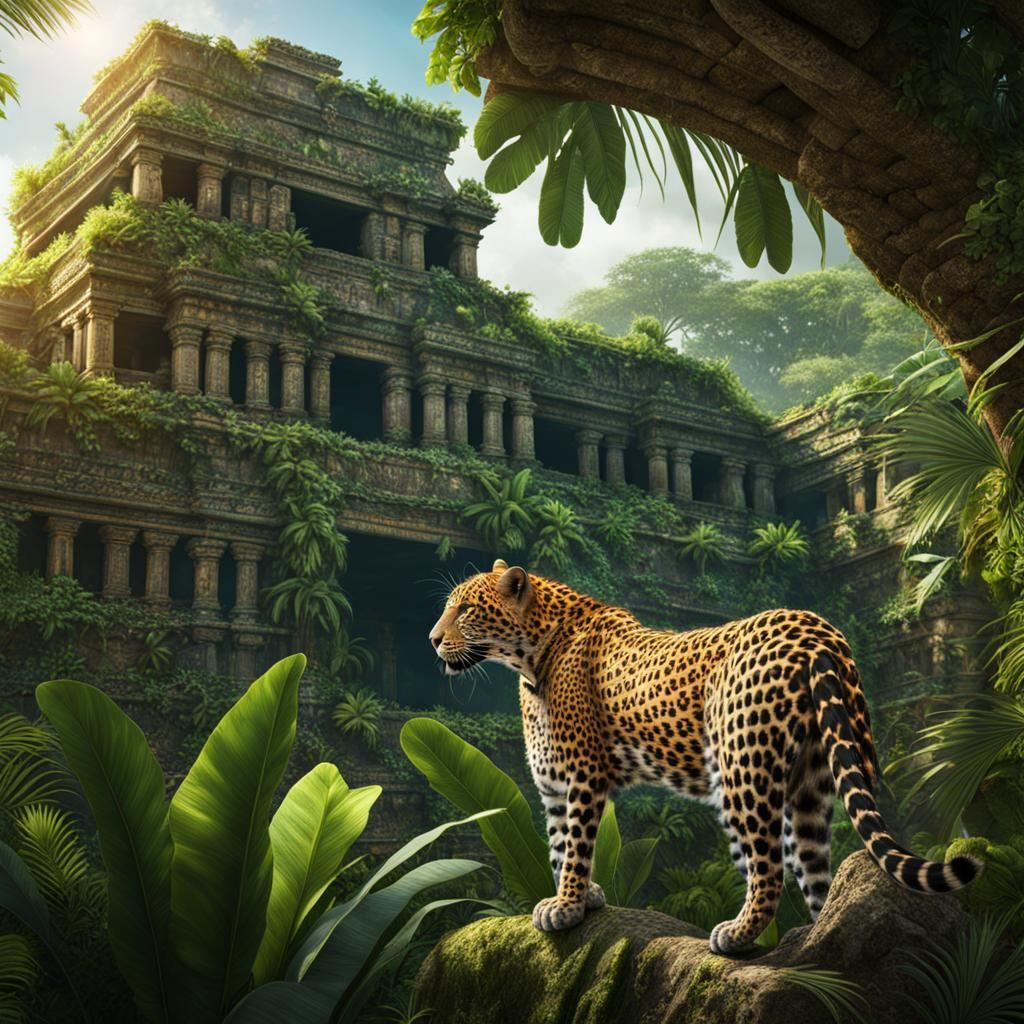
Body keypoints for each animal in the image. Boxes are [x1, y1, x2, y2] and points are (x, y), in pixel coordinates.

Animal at [427, 559, 979, 954]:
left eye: (466, 610)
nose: (432, 639)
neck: (528, 659)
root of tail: (812, 625)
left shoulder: (582, 774)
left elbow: (578, 845)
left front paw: (568, 906)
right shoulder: (554, 784)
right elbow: (560, 844)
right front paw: (580, 899)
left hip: (743, 769)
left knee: (769, 868)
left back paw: (735, 936)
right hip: (819, 772)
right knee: (817, 865)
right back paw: (819, 939)